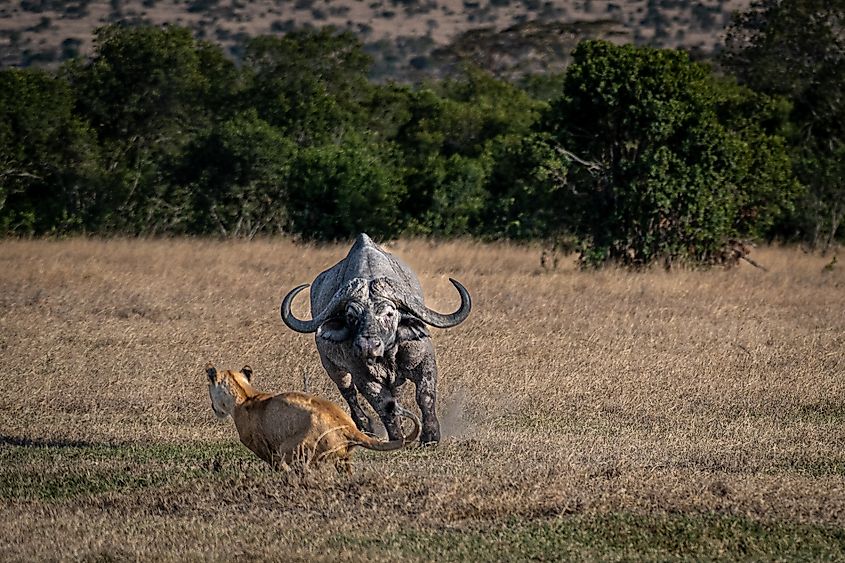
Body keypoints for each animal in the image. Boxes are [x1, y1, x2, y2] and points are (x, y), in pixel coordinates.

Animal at [205, 363, 419, 471]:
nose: (213, 407)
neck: (244, 395)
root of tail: (348, 426)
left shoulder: (265, 449)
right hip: (343, 459)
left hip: (291, 448)